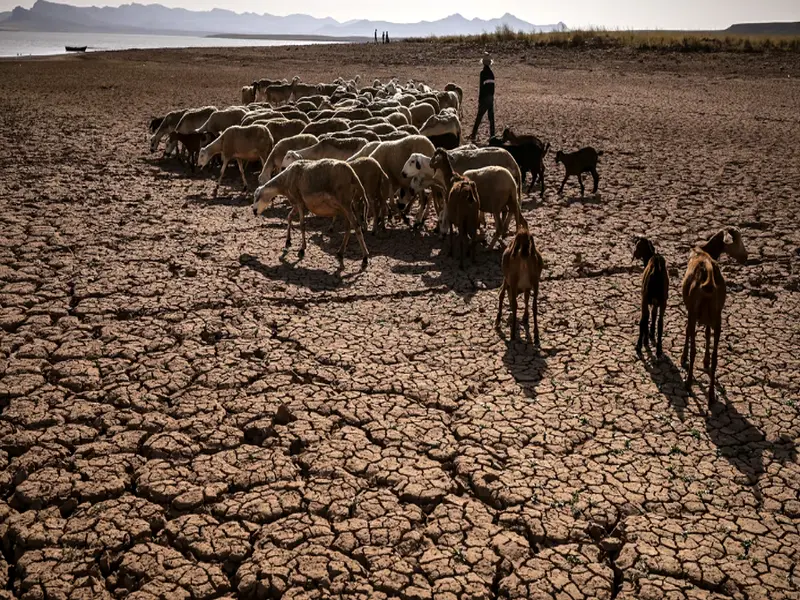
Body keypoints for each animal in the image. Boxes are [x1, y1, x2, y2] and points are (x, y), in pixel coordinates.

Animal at [680, 227, 752, 406]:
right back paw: (712, 395)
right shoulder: (708, 318)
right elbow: (706, 334)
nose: (745, 257)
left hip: (696, 313)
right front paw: (704, 360)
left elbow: (688, 332)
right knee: (715, 357)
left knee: (693, 348)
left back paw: (689, 383)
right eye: (737, 240)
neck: (704, 251)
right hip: (717, 318)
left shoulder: (691, 312)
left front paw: (683, 358)